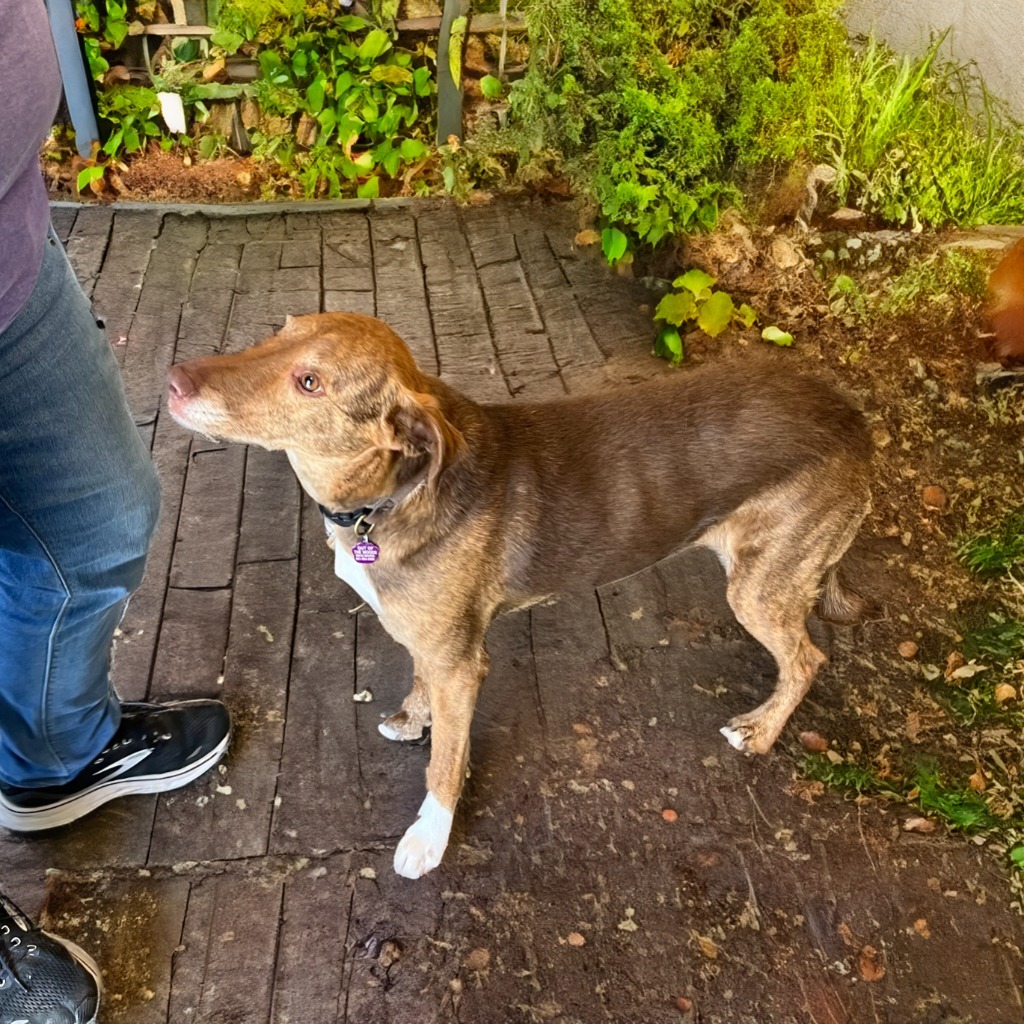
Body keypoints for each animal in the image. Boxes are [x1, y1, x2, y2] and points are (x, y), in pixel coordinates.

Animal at [167, 313, 872, 880]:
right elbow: (419, 684)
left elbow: (445, 764)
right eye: (278, 332)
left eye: (309, 382)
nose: (172, 379)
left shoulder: (460, 663)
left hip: (757, 589)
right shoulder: (430, 639)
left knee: (806, 659)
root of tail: (854, 420)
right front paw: (413, 718)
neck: (385, 497)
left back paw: (760, 732)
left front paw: (429, 837)